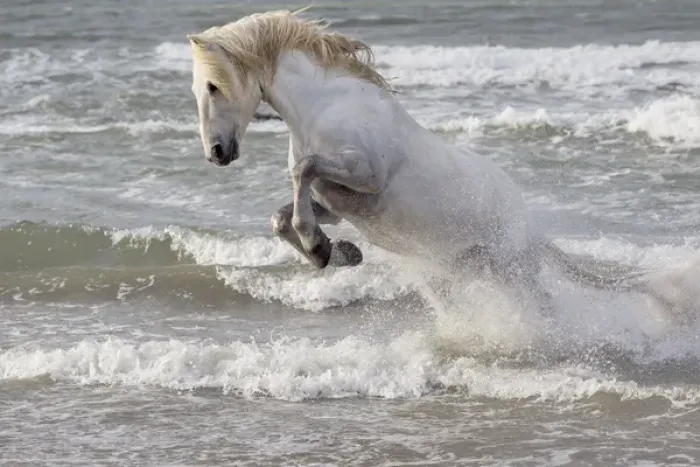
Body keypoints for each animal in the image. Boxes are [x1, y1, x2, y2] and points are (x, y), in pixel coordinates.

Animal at [184, 8, 692, 317]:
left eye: (213, 86)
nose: (216, 154)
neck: (326, 107)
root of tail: (529, 225)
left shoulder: (365, 176)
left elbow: (301, 169)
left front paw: (319, 246)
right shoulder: (338, 201)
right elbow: (281, 213)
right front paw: (338, 252)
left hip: (511, 270)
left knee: (542, 306)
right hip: (472, 270)